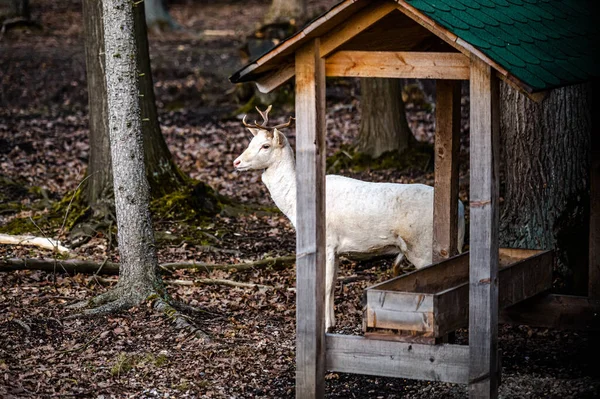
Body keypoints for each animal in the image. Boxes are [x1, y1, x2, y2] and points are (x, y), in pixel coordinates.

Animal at [233, 106, 464, 332]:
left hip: (422, 246)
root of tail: (461, 209)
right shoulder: (336, 249)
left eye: (265, 146)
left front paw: (325, 325)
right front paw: (332, 322)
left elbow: (325, 286)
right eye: (250, 142)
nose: (236, 162)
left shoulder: (326, 242)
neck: (295, 204)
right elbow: (333, 283)